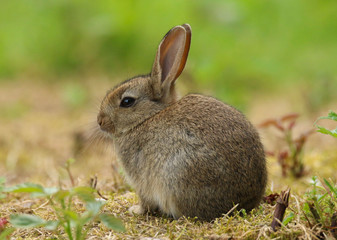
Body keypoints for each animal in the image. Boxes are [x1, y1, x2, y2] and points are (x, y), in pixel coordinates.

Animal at [96, 23, 266, 220]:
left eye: (127, 101)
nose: (100, 121)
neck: (147, 117)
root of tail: (242, 204)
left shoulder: (142, 181)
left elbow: (145, 200)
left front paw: (135, 210)